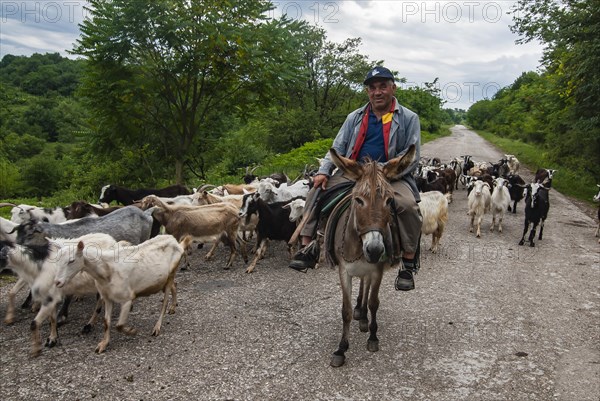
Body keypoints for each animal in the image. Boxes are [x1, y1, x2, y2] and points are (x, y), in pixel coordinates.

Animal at [54, 234, 192, 354]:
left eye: (71, 260)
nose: (57, 282)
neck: (107, 269)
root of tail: (178, 243)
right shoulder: (107, 298)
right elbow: (106, 322)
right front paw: (103, 344)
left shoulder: (127, 299)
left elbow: (119, 325)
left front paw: (132, 331)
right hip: (163, 280)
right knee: (175, 285)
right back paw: (173, 307)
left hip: (171, 274)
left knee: (165, 302)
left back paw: (157, 327)